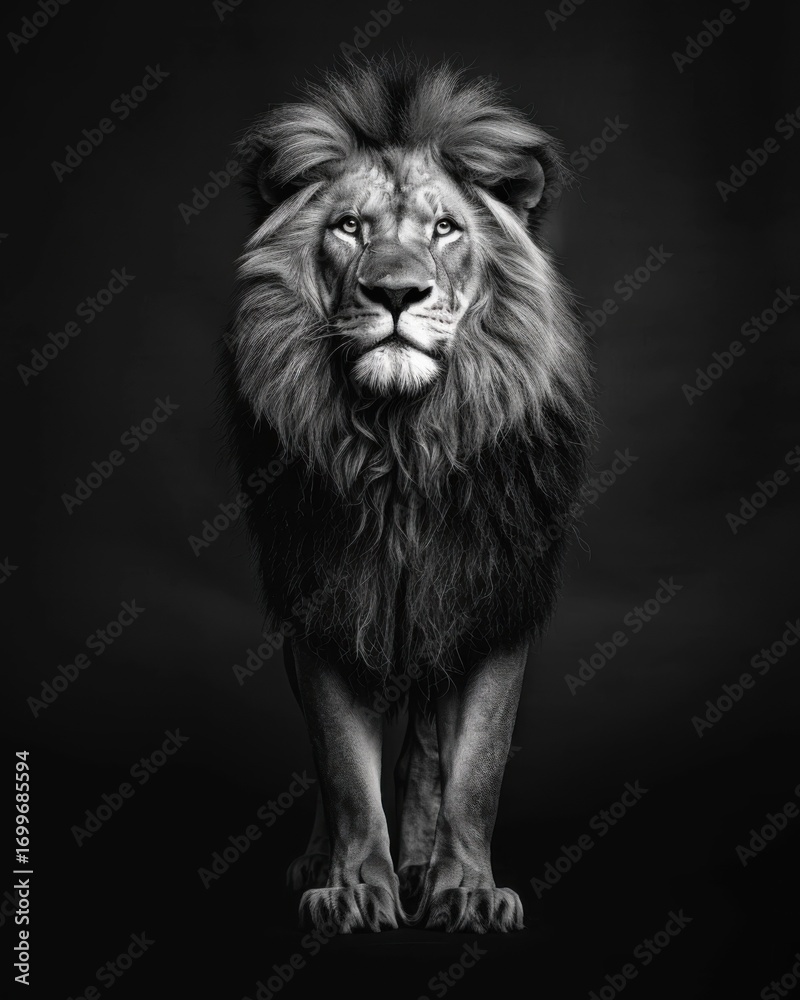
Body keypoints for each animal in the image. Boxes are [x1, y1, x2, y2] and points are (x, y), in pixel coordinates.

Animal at [220, 56, 594, 934]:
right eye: (350, 227)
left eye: (446, 229)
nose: (396, 293)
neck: (401, 446)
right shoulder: (326, 599)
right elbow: (345, 772)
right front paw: (356, 886)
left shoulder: (492, 600)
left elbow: (474, 771)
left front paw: (467, 889)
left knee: (427, 746)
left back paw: (425, 864)